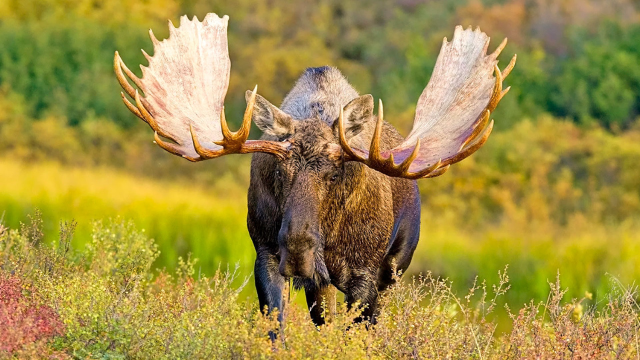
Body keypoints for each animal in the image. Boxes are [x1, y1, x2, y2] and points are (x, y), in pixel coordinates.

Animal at [114, 13, 516, 324]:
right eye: (278, 171)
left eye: (335, 174)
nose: (298, 250)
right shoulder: (266, 256)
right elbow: (277, 328)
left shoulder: (365, 275)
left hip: (395, 267)